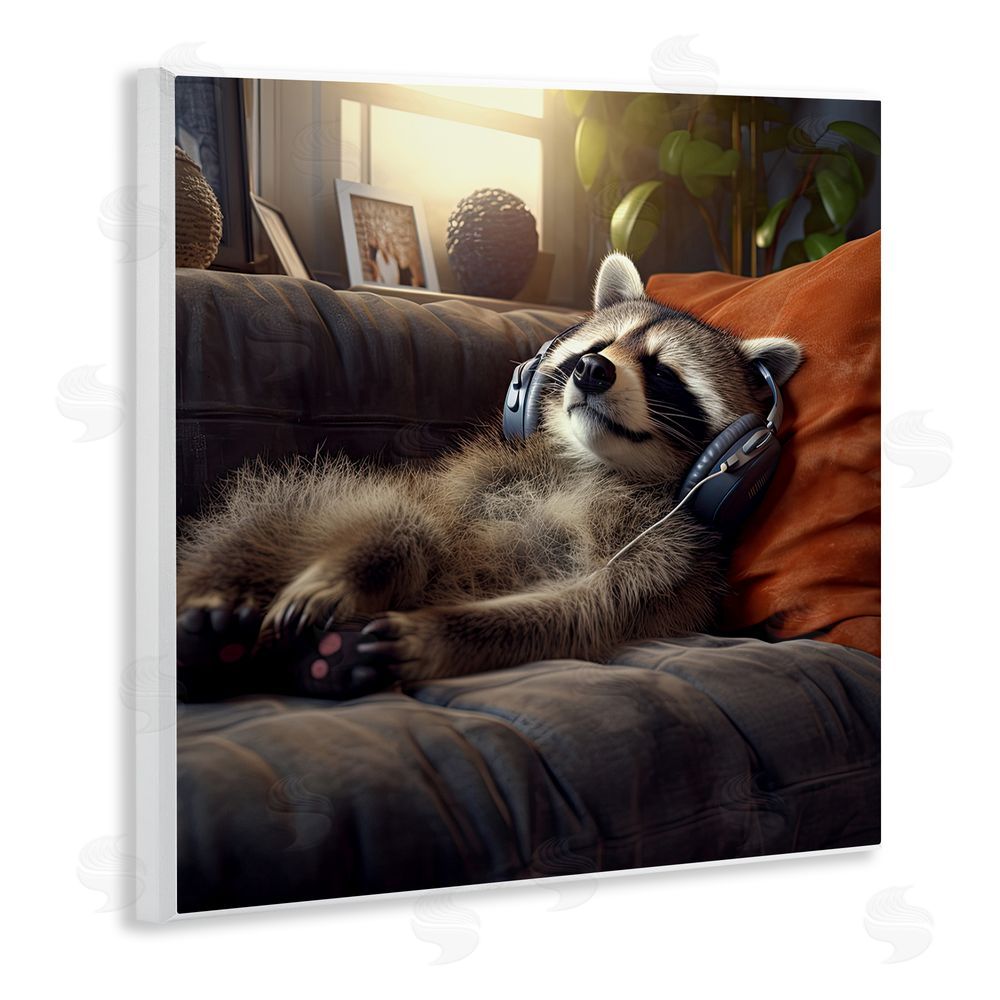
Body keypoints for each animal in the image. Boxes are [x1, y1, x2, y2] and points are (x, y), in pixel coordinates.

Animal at [176, 252, 802, 696]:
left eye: (663, 373)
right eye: (600, 345)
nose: (590, 369)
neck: (595, 464)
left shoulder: (669, 559)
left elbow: (584, 609)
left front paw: (442, 632)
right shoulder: (469, 475)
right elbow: (409, 516)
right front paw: (354, 572)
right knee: (291, 511)